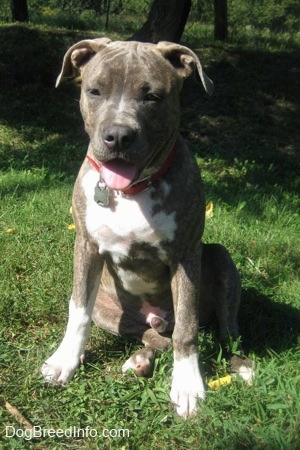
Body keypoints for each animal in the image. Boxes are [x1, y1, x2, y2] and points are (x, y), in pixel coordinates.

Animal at [41, 38, 252, 418]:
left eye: (152, 96)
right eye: (94, 91)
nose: (117, 136)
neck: (131, 190)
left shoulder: (185, 256)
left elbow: (186, 330)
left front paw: (188, 386)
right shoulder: (86, 246)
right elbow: (77, 311)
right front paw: (64, 362)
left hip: (219, 258)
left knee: (226, 328)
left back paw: (240, 365)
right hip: (111, 309)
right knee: (152, 337)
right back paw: (138, 360)